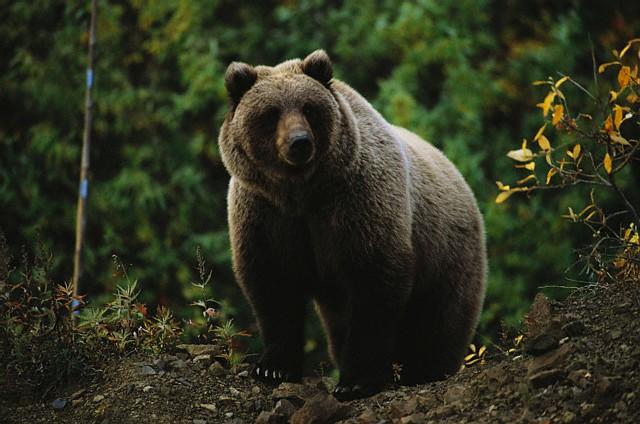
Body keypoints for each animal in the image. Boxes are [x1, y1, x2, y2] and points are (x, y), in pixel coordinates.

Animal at [218, 49, 488, 400]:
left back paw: (423, 369)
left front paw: (356, 381)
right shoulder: (266, 212)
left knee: (439, 320)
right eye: (271, 113)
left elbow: (374, 282)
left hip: (446, 253)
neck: (303, 192)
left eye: (309, 108)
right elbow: (274, 283)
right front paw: (272, 367)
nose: (299, 142)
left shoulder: (358, 202)